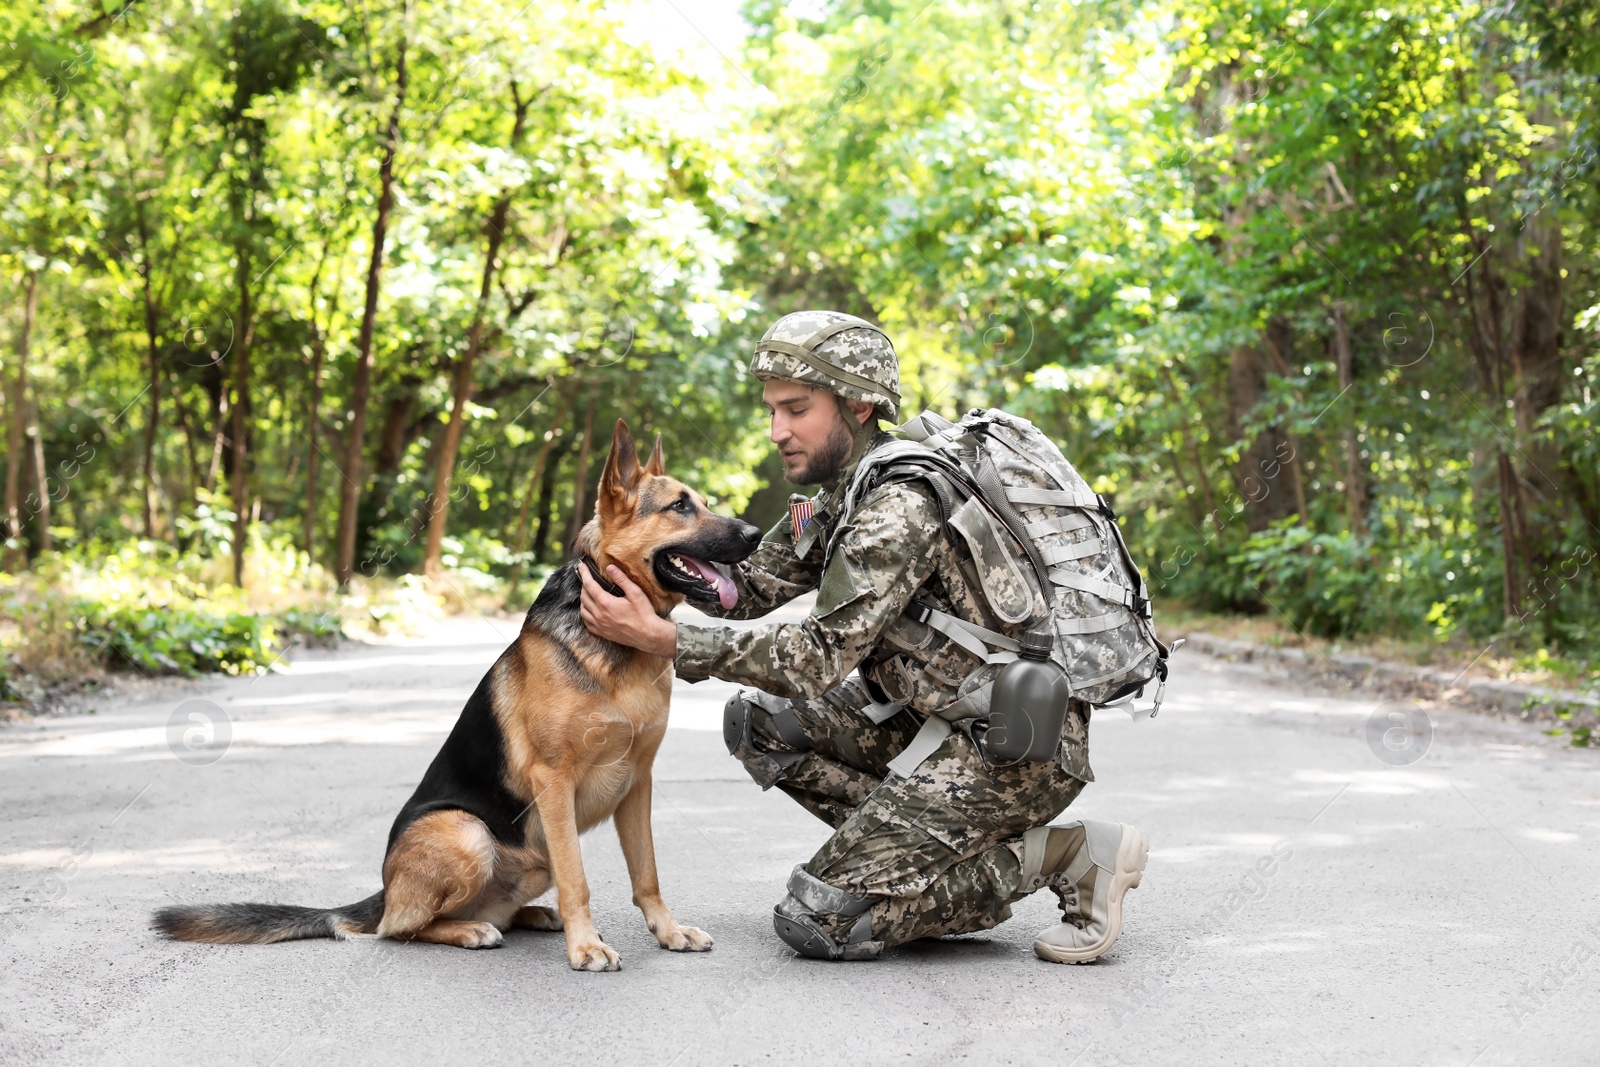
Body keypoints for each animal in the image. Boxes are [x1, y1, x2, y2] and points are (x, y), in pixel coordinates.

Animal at [152, 422, 764, 972]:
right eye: (680, 506)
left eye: (701, 501)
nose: (756, 533)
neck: (616, 642)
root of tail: (385, 891)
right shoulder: (555, 782)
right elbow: (580, 880)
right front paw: (586, 947)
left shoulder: (638, 783)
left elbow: (647, 874)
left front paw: (668, 932)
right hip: (470, 833)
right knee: (401, 928)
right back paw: (471, 930)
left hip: (534, 851)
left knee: (480, 910)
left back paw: (526, 916)